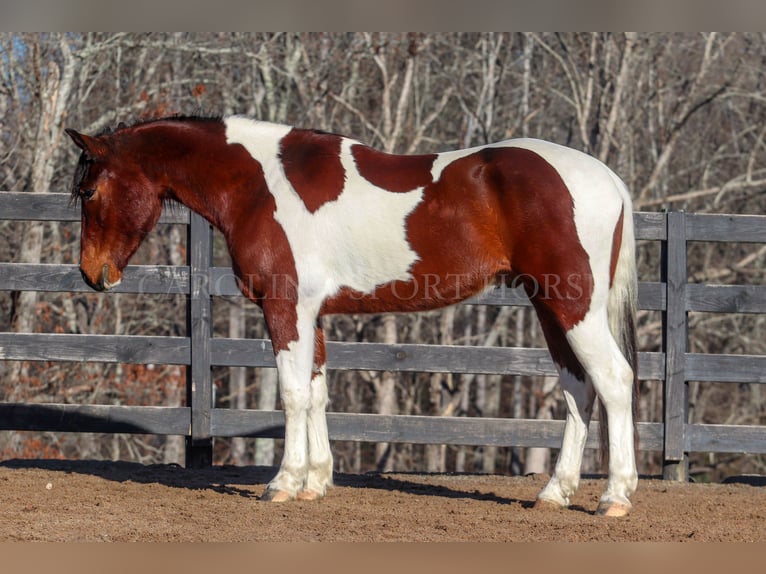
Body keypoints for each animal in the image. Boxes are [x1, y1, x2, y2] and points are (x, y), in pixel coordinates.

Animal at [66, 116, 640, 516]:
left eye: (89, 191)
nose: (93, 274)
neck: (259, 185)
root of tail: (607, 178)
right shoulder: (312, 314)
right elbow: (317, 391)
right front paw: (316, 482)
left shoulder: (286, 307)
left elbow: (293, 393)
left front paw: (283, 483)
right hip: (550, 307)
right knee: (578, 389)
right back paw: (555, 493)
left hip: (574, 307)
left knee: (614, 380)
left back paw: (614, 496)